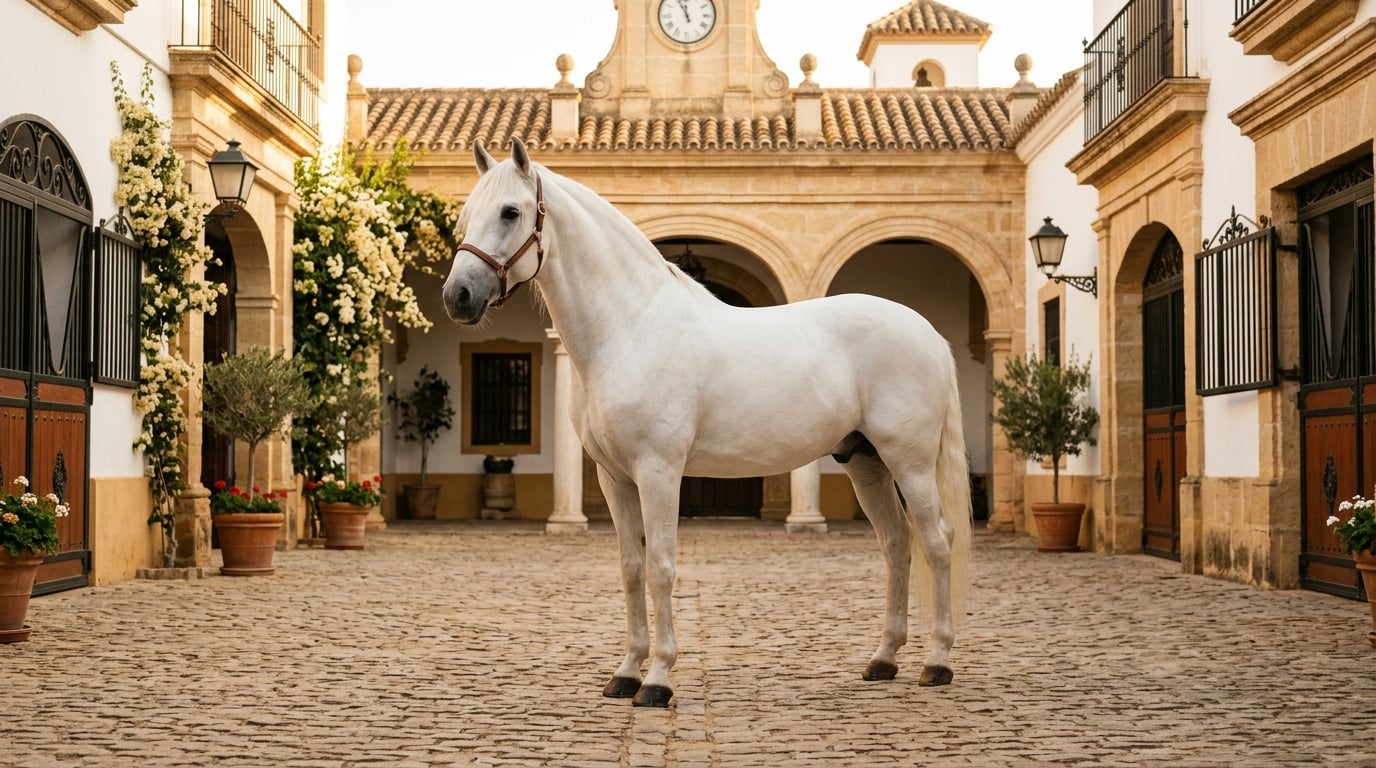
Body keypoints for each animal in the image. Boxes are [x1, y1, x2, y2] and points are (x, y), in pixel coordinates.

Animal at [442, 138, 972, 708]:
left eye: (510, 212)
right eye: (465, 216)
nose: (458, 297)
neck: (630, 327)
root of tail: (927, 331)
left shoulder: (658, 471)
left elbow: (661, 568)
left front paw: (657, 681)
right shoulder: (614, 477)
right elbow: (631, 569)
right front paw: (626, 673)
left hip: (909, 462)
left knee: (936, 540)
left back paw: (937, 662)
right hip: (865, 461)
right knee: (896, 543)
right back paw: (884, 659)